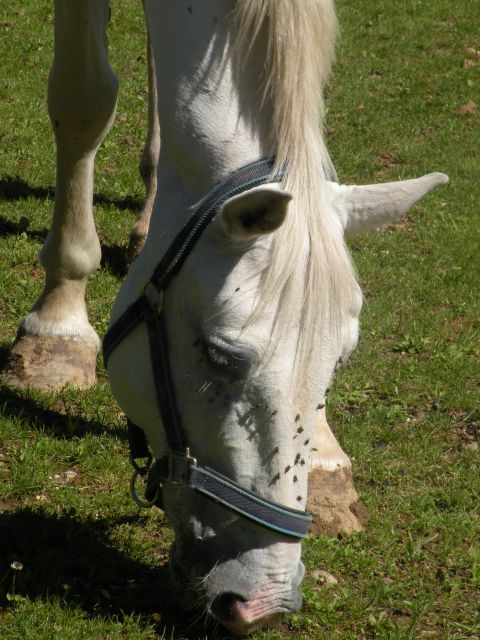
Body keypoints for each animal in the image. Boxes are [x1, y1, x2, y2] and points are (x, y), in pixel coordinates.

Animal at [1, 0, 448, 632]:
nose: (265, 602)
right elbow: (84, 101)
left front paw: (326, 456)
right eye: (218, 355)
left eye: (341, 362)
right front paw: (57, 329)